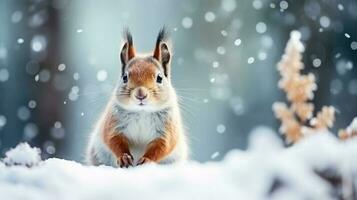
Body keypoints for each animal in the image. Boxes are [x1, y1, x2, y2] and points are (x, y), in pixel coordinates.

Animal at [86, 27, 188, 167]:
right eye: (125, 77)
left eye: (159, 78)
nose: (141, 94)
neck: (142, 112)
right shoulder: (113, 125)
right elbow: (114, 140)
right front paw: (124, 158)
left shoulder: (167, 131)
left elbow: (162, 147)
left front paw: (147, 160)